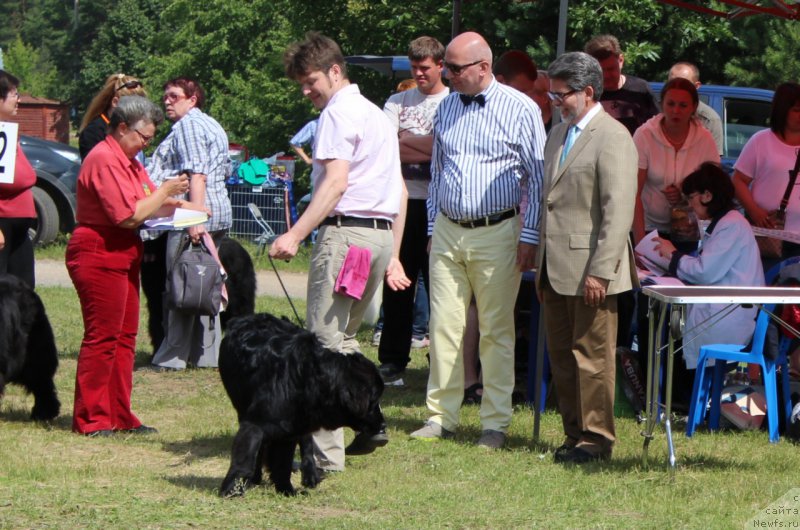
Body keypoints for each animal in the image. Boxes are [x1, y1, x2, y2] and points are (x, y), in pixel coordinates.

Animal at [216, 312, 384, 492]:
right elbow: (246, 456)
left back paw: (310, 475)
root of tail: (246, 318)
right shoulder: (255, 423)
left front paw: (286, 489)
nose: (383, 425)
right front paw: (232, 488)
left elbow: (283, 462)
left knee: (306, 442)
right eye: (373, 402)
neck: (308, 380)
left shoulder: (289, 428)